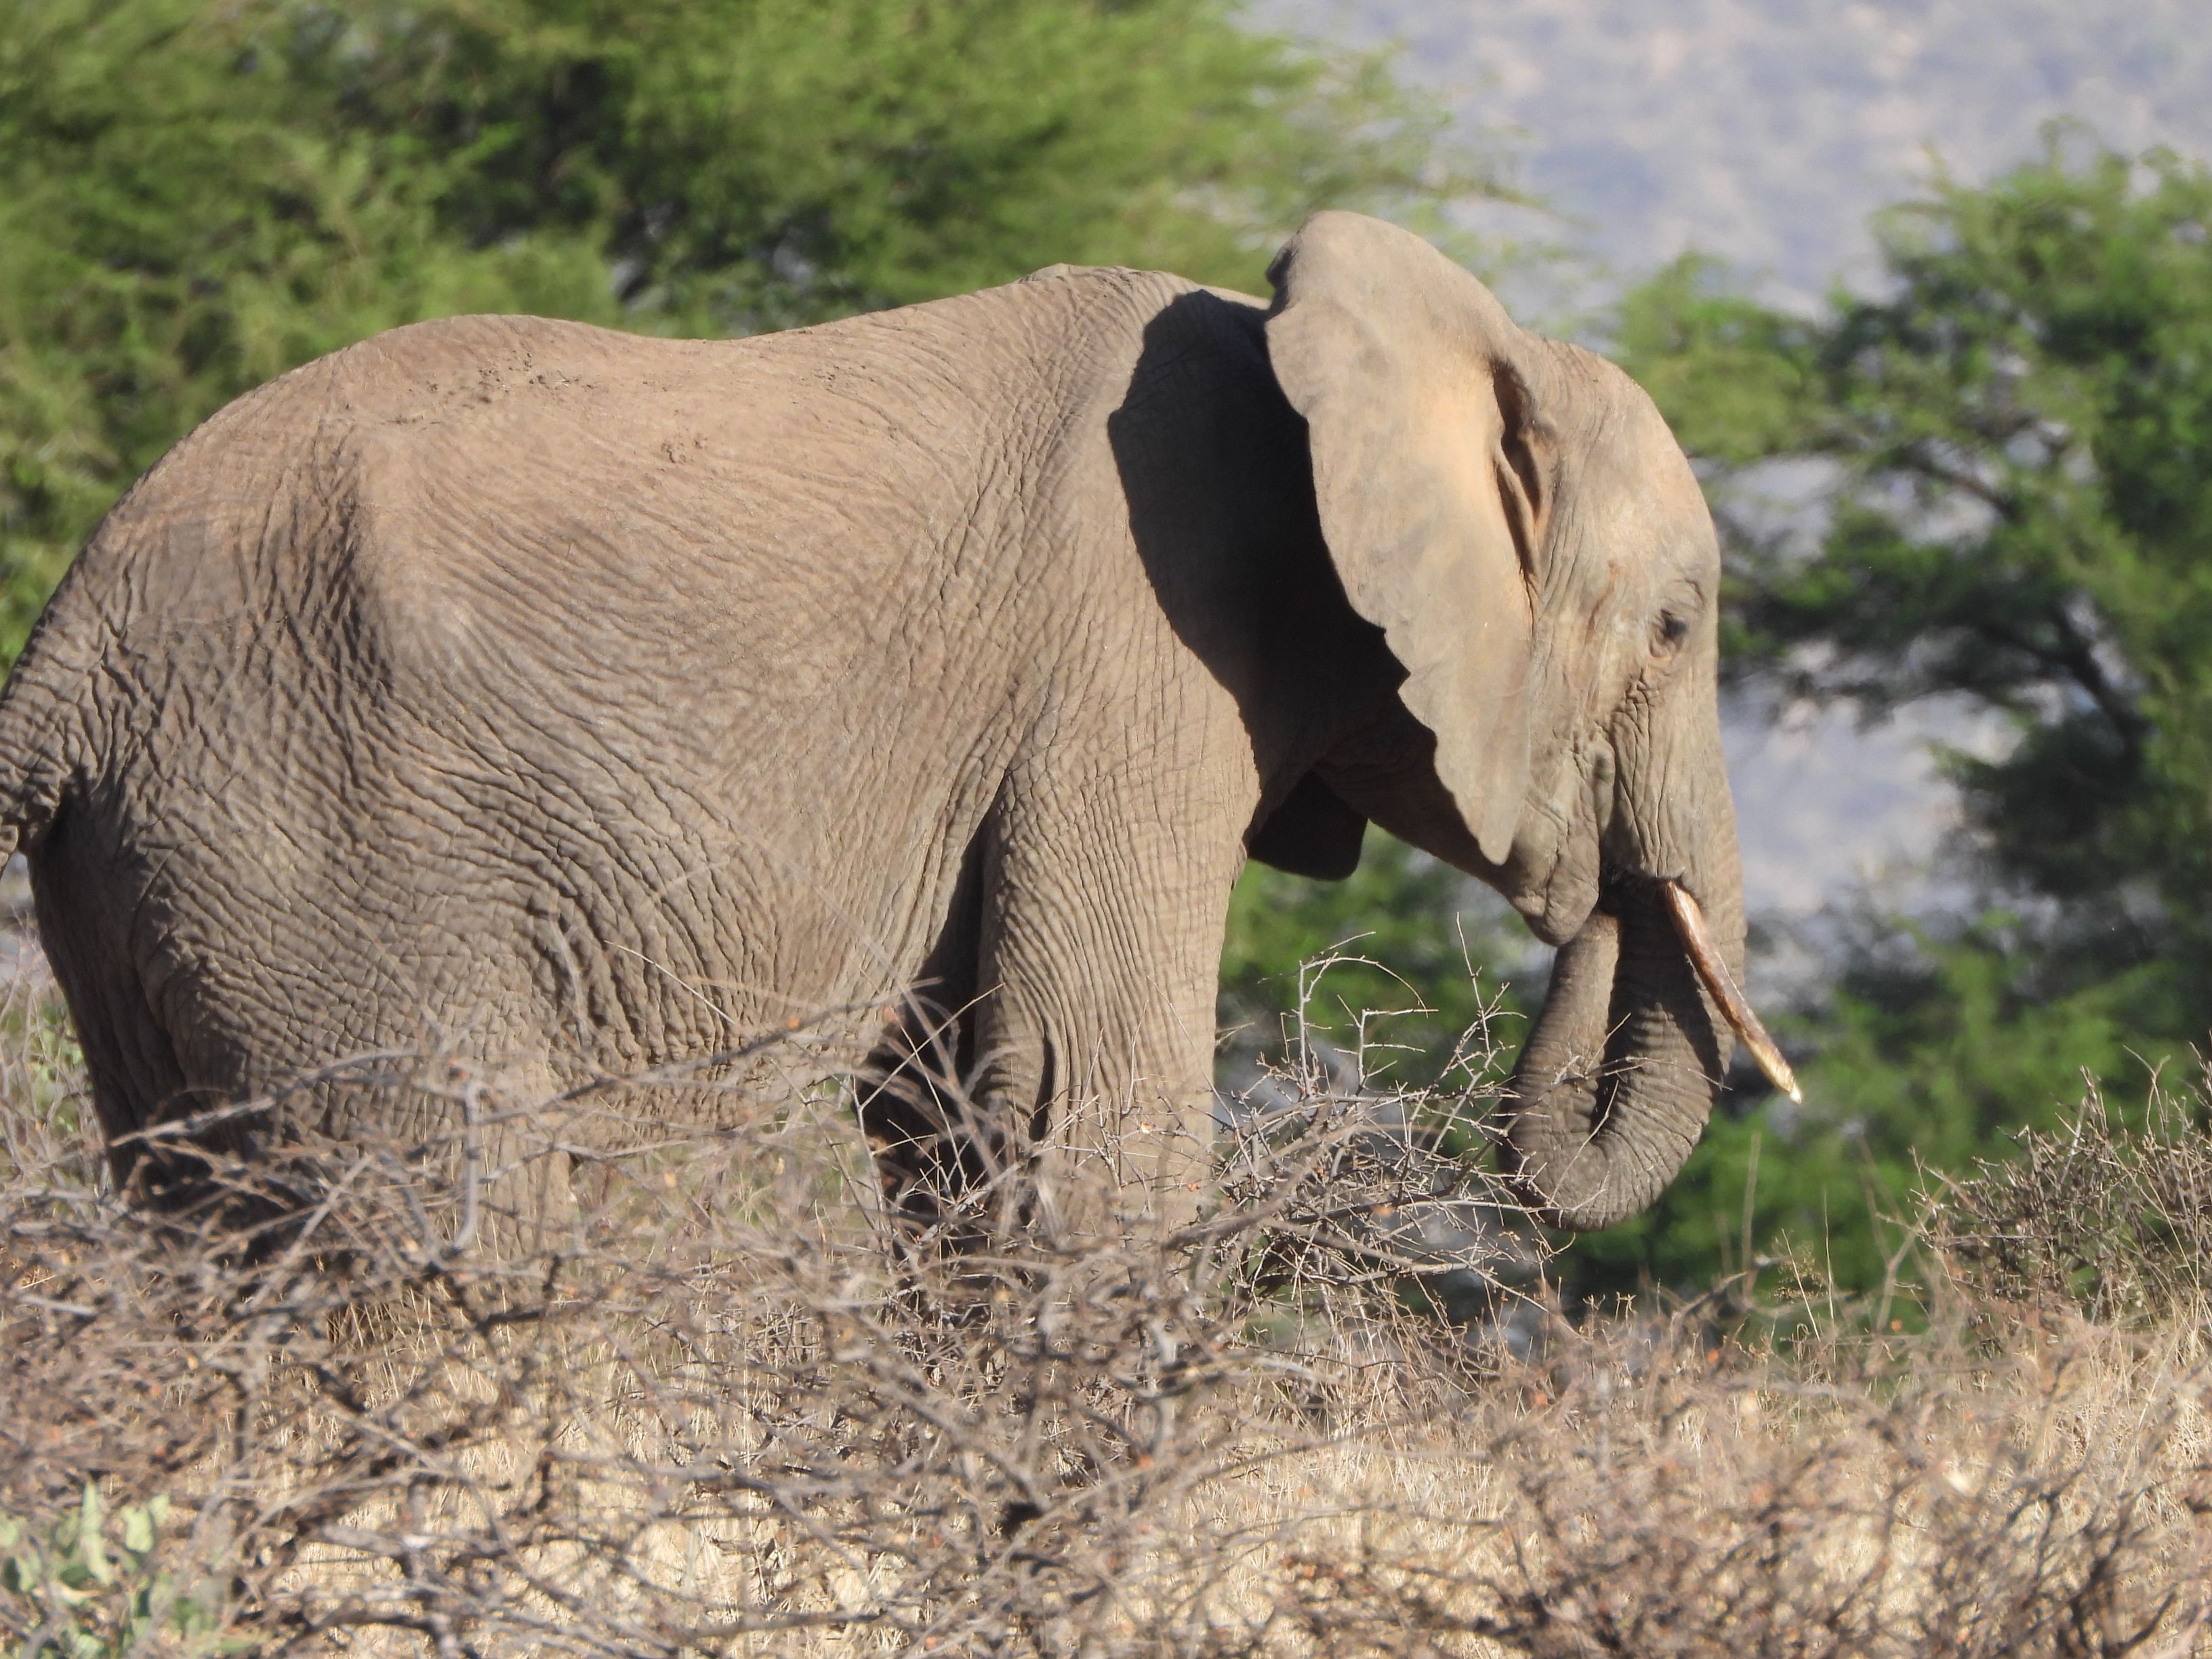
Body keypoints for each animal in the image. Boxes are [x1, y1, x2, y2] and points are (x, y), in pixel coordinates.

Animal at [0, 207, 1796, 1238]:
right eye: (1675, 626)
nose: (1607, 897)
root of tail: (58, 661)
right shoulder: (1134, 655)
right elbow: (1088, 1101)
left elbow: (947, 1122)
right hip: (311, 834)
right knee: (446, 1206)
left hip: (173, 865)